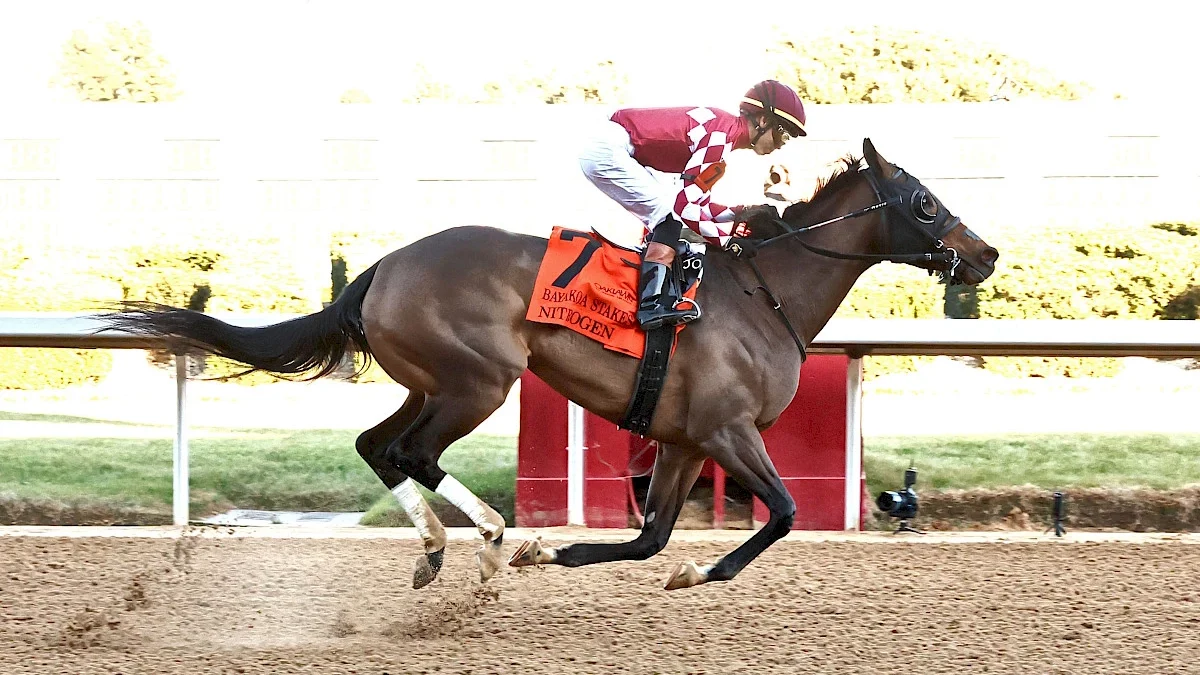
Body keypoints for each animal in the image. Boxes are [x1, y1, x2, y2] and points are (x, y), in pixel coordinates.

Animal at [98, 138, 998, 591]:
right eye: (925, 203)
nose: (985, 254)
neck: (763, 292)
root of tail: (381, 266)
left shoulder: (682, 439)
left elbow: (649, 538)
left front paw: (568, 555)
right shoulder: (727, 429)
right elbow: (781, 511)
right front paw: (702, 567)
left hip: (432, 379)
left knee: (375, 444)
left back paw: (438, 549)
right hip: (479, 381)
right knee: (411, 451)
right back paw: (492, 536)